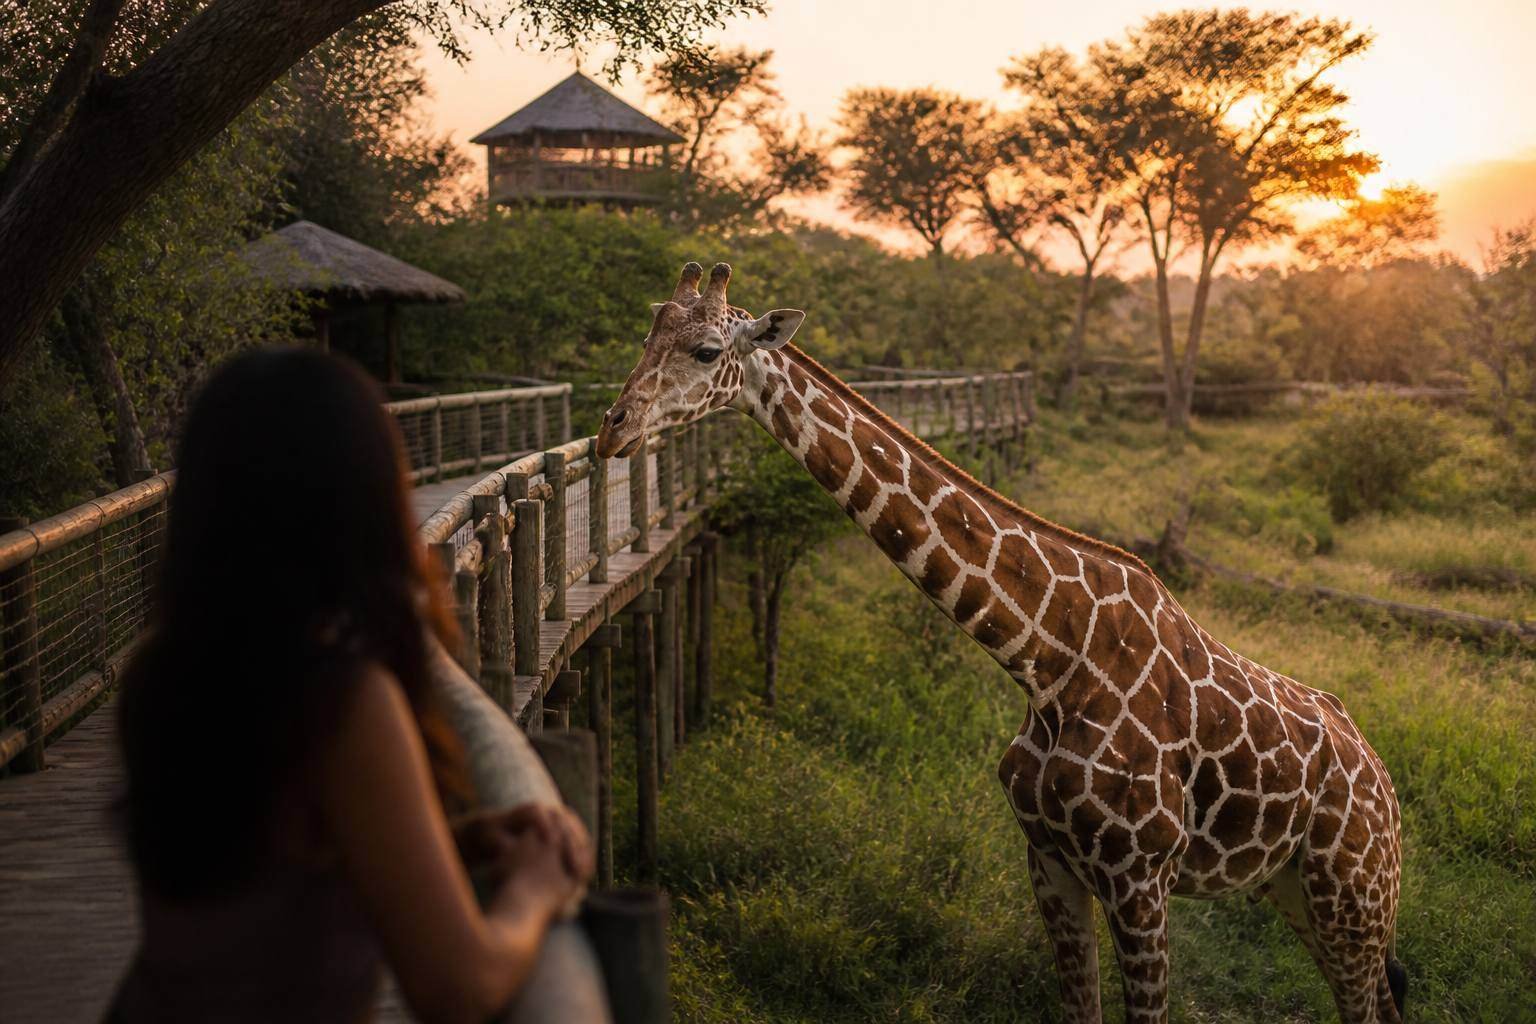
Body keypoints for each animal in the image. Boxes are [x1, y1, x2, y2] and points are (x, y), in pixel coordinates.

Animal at [595, 262, 1406, 1024]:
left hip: (1352, 896)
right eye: (649, 331)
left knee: (1369, 1004)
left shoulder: (1142, 880)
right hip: (1296, 890)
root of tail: (1385, 786)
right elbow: (1080, 1008)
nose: (612, 429)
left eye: (706, 351)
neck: (1048, 661)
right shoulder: (1048, 861)